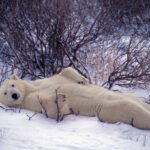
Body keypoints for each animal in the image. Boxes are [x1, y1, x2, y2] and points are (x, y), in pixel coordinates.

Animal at [0, 68, 150, 130]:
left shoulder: (43, 82)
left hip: (129, 96)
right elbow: (51, 111)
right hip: (109, 109)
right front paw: (60, 98)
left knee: (139, 103)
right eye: (5, 93)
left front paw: (82, 79)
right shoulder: (30, 102)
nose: (14, 95)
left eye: (12, 85)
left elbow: (64, 73)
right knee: (133, 110)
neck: (30, 90)